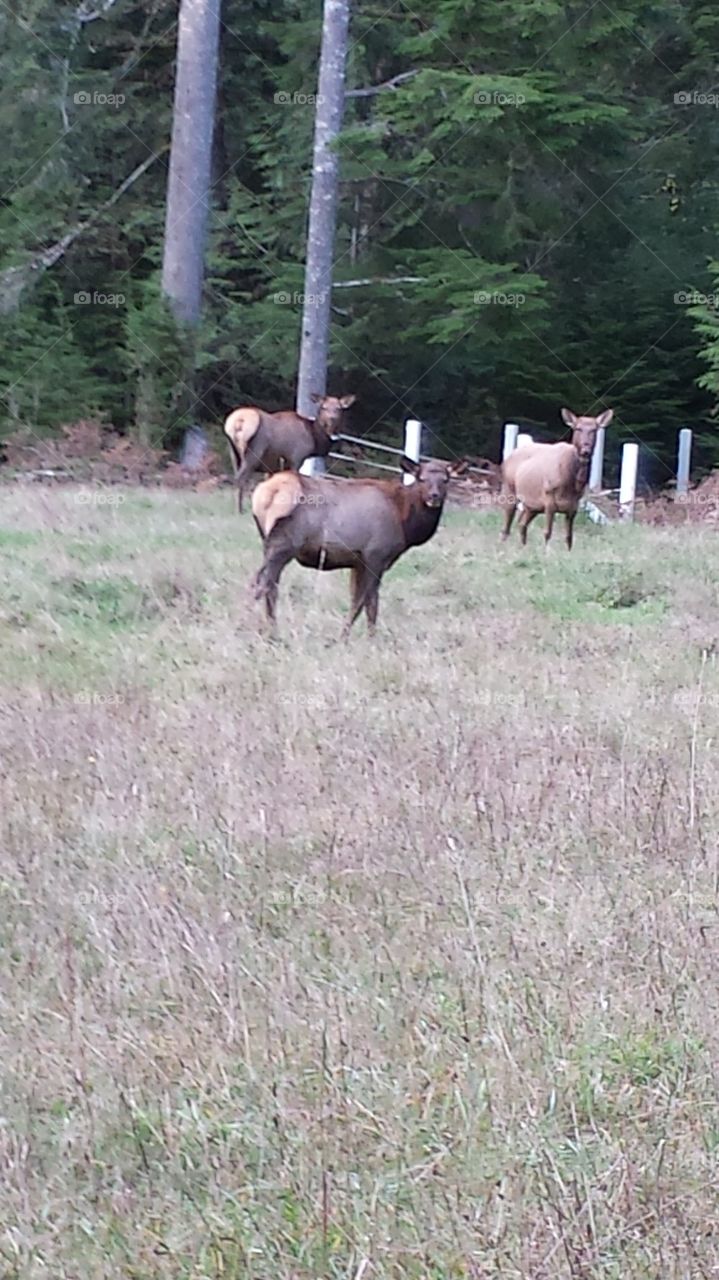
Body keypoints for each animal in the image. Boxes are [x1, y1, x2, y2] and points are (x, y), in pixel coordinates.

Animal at [223, 394, 356, 512]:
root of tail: (239, 421)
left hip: (233, 452)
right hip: (254, 454)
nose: (331, 418)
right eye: (323, 407)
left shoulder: (273, 466)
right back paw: (239, 510)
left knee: (236, 477)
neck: (314, 440)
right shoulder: (295, 458)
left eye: (339, 408)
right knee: (240, 478)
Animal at [250, 456, 469, 636]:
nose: (434, 496)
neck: (405, 522)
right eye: (421, 478)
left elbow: (357, 599)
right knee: (262, 585)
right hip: (283, 545)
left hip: (267, 542)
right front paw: (360, 638)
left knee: (268, 586)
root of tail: (268, 491)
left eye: (446, 479)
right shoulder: (376, 555)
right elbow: (368, 601)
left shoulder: (358, 561)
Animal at [500, 408, 613, 550]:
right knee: (507, 524)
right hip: (509, 489)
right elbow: (547, 532)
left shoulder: (573, 506)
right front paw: (546, 552)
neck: (572, 484)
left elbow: (569, 537)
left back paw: (523, 547)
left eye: (594, 429)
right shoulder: (549, 499)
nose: (585, 450)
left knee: (522, 523)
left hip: (532, 505)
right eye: (578, 428)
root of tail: (507, 458)